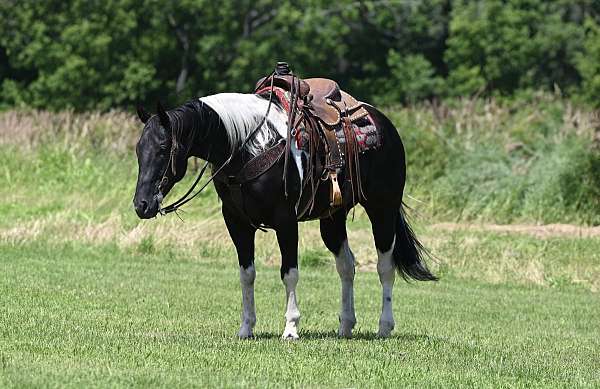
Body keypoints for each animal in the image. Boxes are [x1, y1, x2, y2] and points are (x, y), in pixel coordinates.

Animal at [131, 71, 436, 338]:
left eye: (163, 149)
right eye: (138, 149)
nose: (141, 205)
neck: (249, 145)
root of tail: (384, 124)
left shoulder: (286, 221)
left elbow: (289, 274)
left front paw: (290, 328)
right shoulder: (236, 222)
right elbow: (247, 274)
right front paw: (246, 328)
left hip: (382, 209)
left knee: (385, 266)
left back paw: (384, 326)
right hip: (333, 218)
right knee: (346, 266)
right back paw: (346, 325)